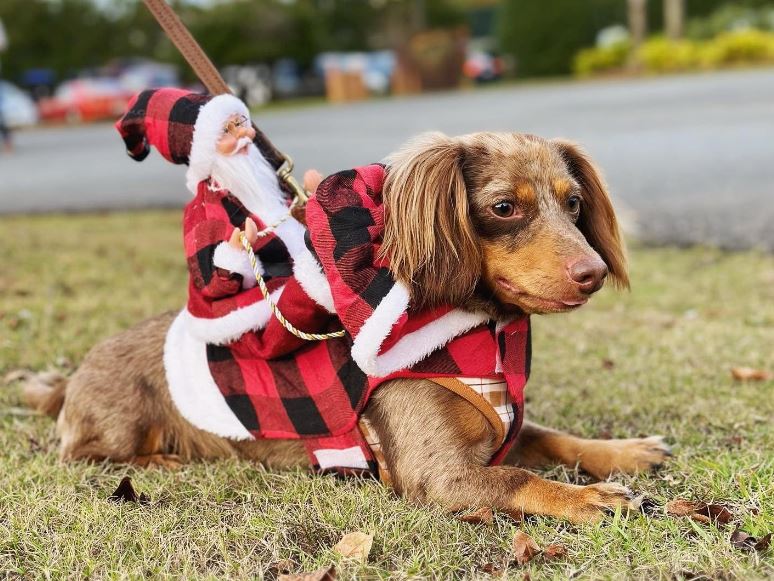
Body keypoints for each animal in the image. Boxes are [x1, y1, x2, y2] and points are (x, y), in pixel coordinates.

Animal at [27, 131, 668, 520]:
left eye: (574, 203)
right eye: (504, 207)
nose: (593, 272)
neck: (486, 338)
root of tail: (74, 376)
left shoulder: (506, 426)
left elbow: (555, 438)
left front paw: (626, 452)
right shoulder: (438, 474)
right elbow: (517, 478)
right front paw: (589, 498)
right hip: (117, 428)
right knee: (86, 454)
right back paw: (161, 460)